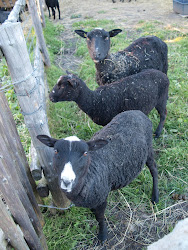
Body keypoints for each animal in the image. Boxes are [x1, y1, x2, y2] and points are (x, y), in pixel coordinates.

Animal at [36, 110, 159, 242]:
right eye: (55, 151)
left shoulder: (102, 197)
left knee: (154, 169)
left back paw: (155, 197)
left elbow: (99, 217)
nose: (67, 181)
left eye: (85, 153)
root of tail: (137, 112)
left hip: (148, 148)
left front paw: (102, 235)